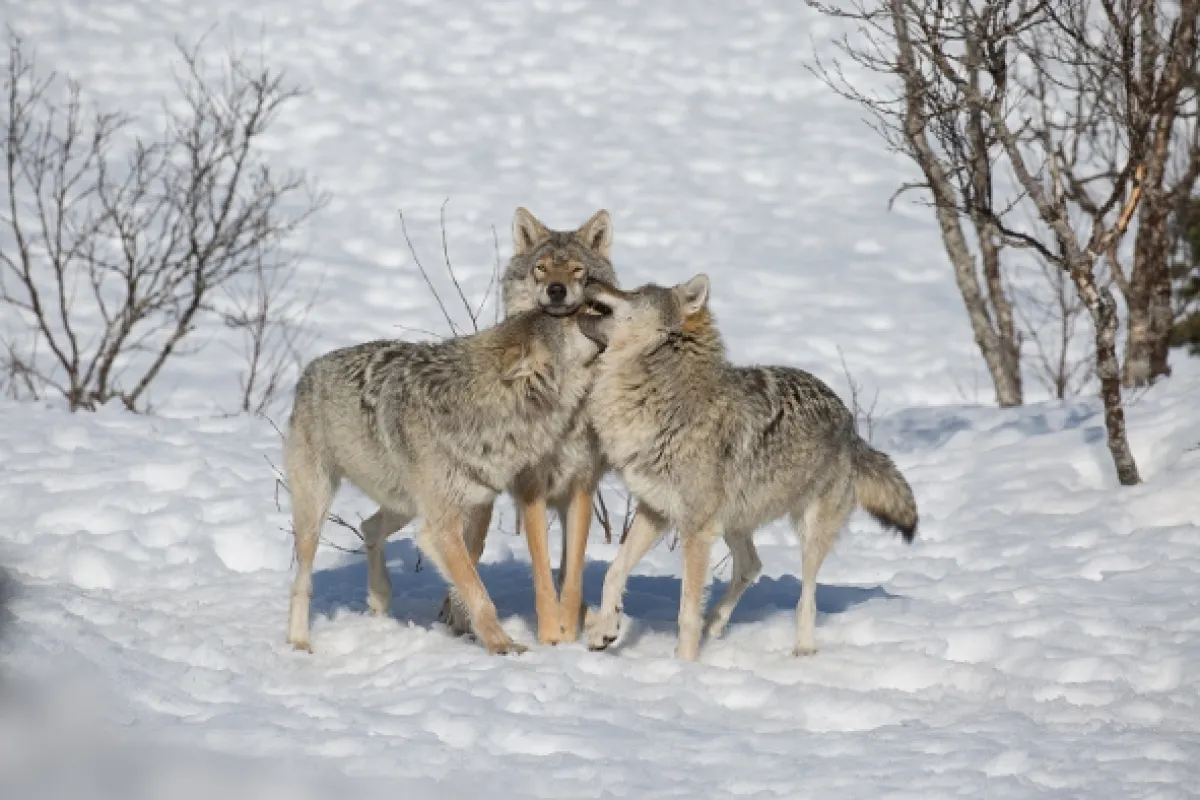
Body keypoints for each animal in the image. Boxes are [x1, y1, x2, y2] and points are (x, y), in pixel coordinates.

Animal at [283, 306, 601, 655]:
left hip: (403, 508)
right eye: (568, 318)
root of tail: (310, 370)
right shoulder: (441, 529)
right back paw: (299, 641)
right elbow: (479, 595)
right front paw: (502, 645)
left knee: (369, 528)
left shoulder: (474, 512)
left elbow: (468, 586)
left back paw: (379, 599)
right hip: (317, 512)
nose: (598, 310)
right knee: (302, 582)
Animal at [356, 207, 619, 646]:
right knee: (468, 558)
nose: (557, 291)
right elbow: (541, 575)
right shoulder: (530, 489)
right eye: (541, 269)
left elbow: (572, 575)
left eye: (578, 271)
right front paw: (550, 637)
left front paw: (568, 635)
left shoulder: (581, 485)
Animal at [577, 275, 918, 661]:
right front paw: (605, 631)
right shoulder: (655, 511)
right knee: (752, 565)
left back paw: (802, 649)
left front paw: (684, 665)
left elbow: (686, 613)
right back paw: (716, 623)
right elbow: (614, 572)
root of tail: (850, 425)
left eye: (634, 291)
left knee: (806, 597)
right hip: (734, 523)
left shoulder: (695, 529)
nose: (588, 278)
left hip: (807, 534)